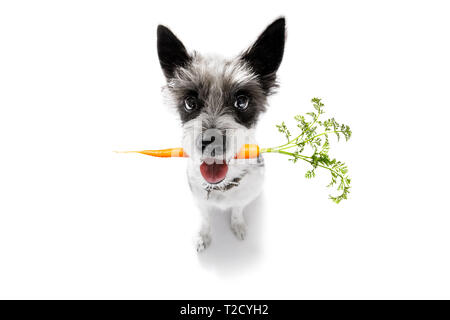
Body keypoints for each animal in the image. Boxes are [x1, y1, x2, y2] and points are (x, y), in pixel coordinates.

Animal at [156, 17, 286, 251]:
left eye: (242, 102)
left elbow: (237, 210)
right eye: (190, 102)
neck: (221, 186)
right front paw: (203, 236)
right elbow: (205, 218)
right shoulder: (199, 199)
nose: (211, 142)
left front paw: (238, 225)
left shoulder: (245, 195)